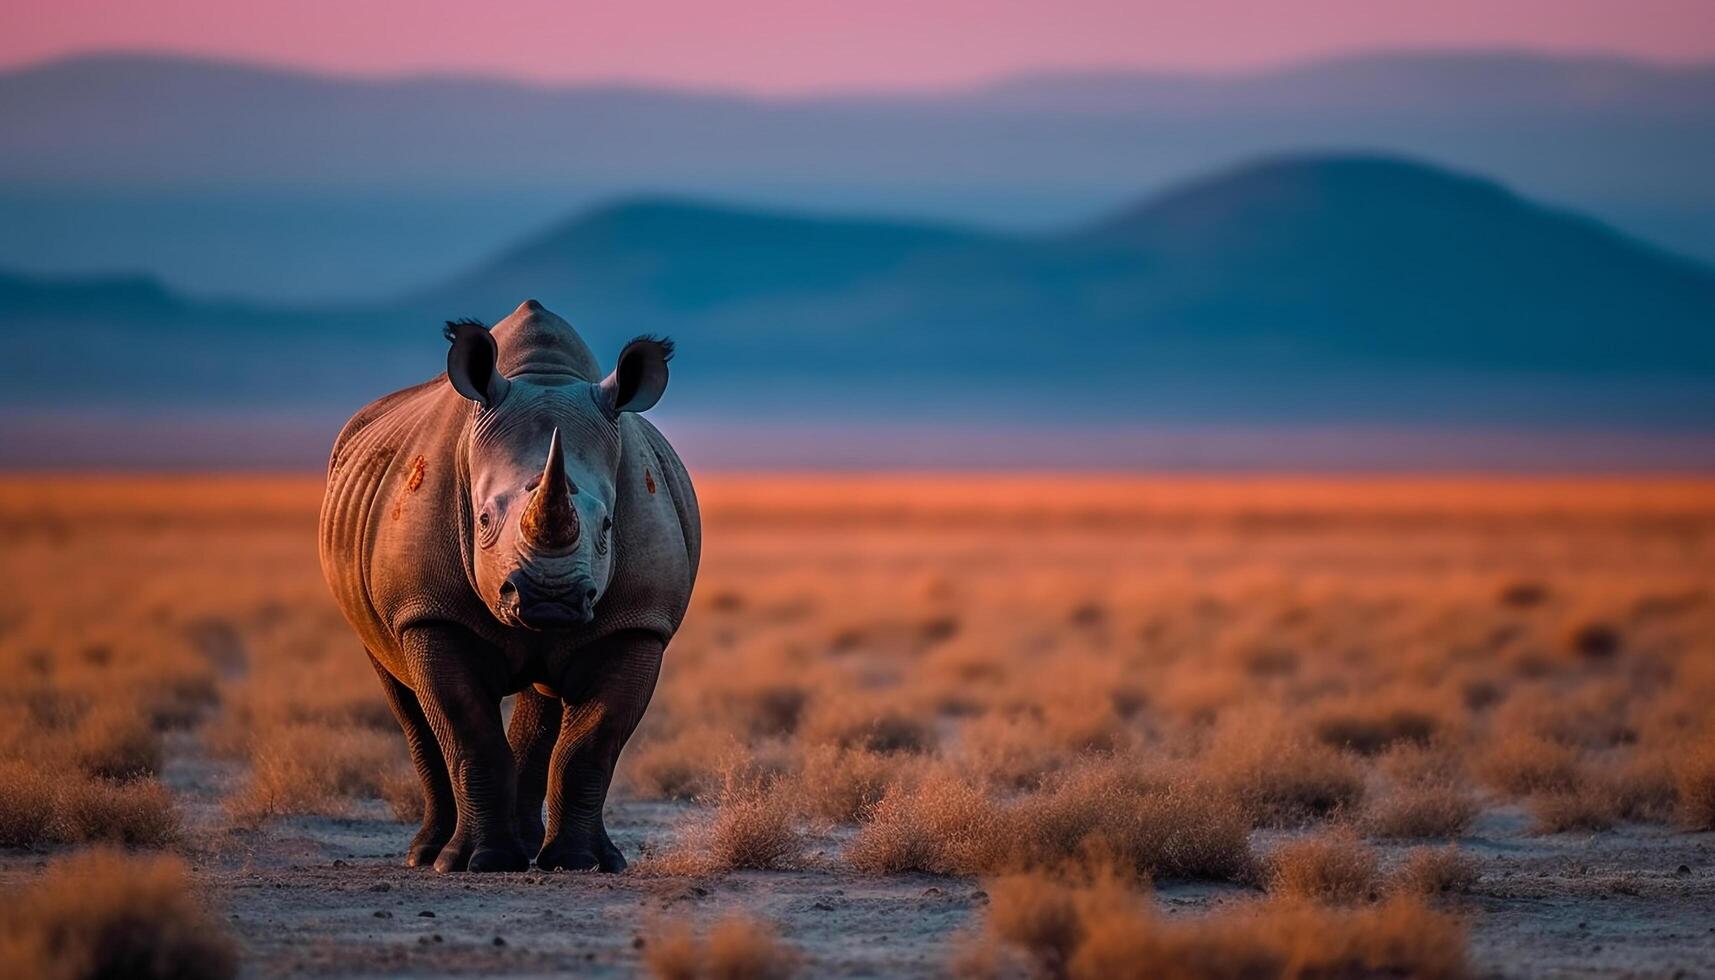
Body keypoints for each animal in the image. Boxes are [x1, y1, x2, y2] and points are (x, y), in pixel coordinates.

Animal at [322, 298, 696, 875]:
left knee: (544, 699)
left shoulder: (637, 623)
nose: (550, 598)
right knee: (402, 692)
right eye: (481, 520)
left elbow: (594, 741)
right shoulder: (427, 609)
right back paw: (427, 854)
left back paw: (531, 847)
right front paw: (479, 861)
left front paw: (583, 862)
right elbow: (467, 730)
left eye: (609, 525)